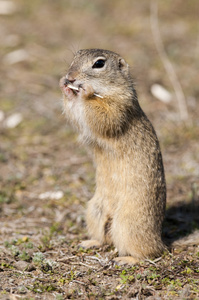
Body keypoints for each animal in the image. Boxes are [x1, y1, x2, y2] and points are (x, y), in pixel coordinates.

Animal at [59, 49, 166, 264]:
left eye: (99, 64)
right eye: (75, 57)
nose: (70, 77)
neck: (107, 90)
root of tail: (160, 239)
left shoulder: (119, 105)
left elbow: (105, 116)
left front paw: (85, 91)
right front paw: (64, 87)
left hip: (128, 224)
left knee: (151, 252)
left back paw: (126, 260)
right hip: (94, 211)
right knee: (105, 239)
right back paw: (89, 242)